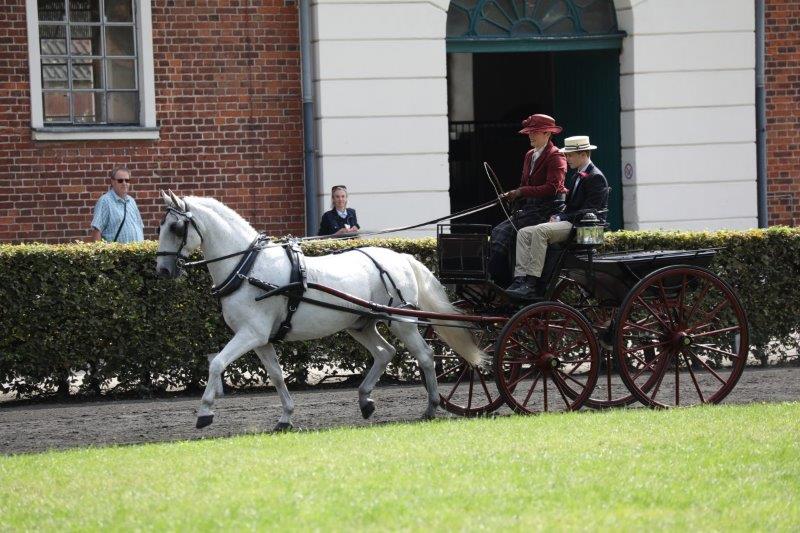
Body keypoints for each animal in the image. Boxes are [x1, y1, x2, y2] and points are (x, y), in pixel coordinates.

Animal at [155, 191, 488, 430]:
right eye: (161, 226)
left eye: (176, 227)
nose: (162, 270)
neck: (247, 267)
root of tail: (401, 257)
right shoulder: (260, 339)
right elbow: (276, 375)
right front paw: (285, 417)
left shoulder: (251, 334)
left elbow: (217, 363)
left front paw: (205, 411)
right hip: (361, 323)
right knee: (385, 352)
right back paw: (366, 400)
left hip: (402, 320)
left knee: (426, 356)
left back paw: (431, 406)